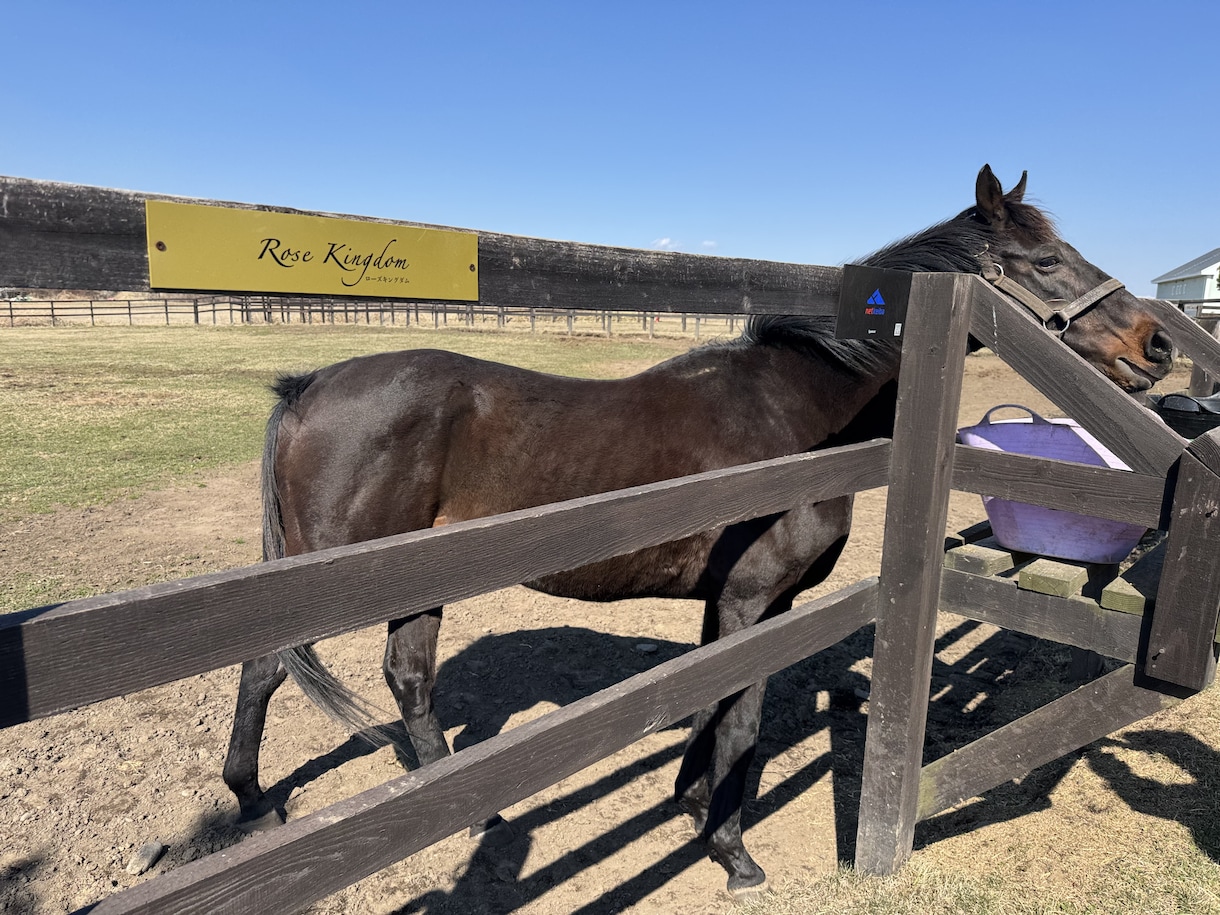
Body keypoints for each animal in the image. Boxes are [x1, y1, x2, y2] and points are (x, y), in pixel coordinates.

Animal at [222, 165, 1175, 897]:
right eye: (1044, 261)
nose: (1156, 344)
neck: (798, 412)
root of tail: (308, 386)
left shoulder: (738, 603)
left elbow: (713, 703)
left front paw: (689, 801)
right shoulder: (753, 597)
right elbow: (742, 718)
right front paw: (732, 850)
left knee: (409, 680)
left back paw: (464, 807)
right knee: (267, 669)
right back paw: (253, 800)